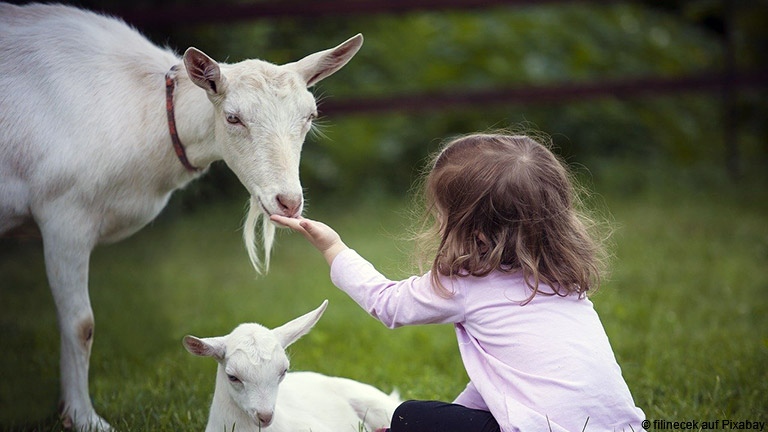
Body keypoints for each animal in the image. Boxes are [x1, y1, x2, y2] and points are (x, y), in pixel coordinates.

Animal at [0, 2, 364, 428]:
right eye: (233, 118)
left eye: (310, 116)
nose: (288, 201)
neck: (146, 112)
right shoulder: (64, 213)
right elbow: (80, 323)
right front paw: (84, 417)